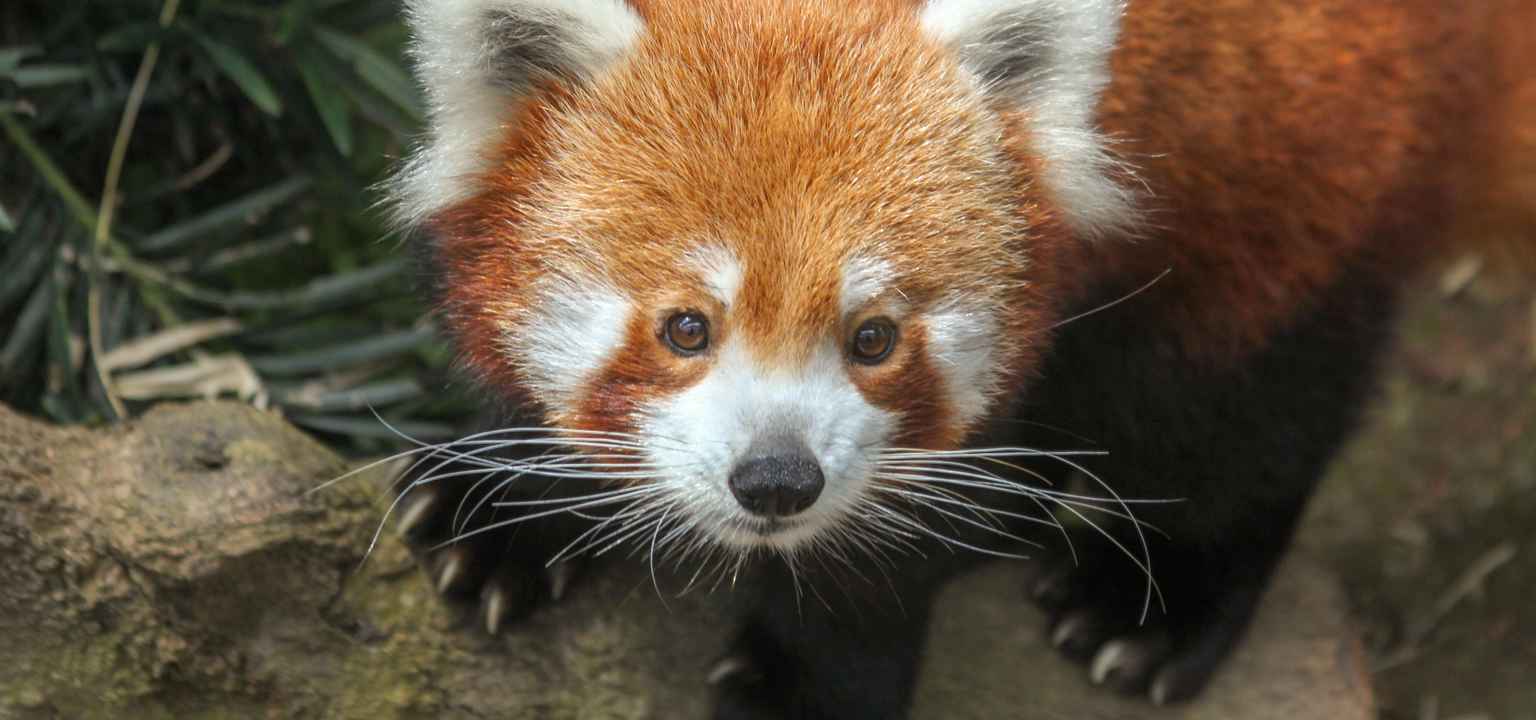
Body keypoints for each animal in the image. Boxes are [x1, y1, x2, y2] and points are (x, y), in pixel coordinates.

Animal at [387, 0, 1536, 712]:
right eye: (686, 328)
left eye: (874, 337)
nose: (776, 481)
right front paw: (505, 510)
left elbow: (908, 525)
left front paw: (818, 680)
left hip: (1302, 143)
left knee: (1249, 393)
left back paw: (1159, 599)